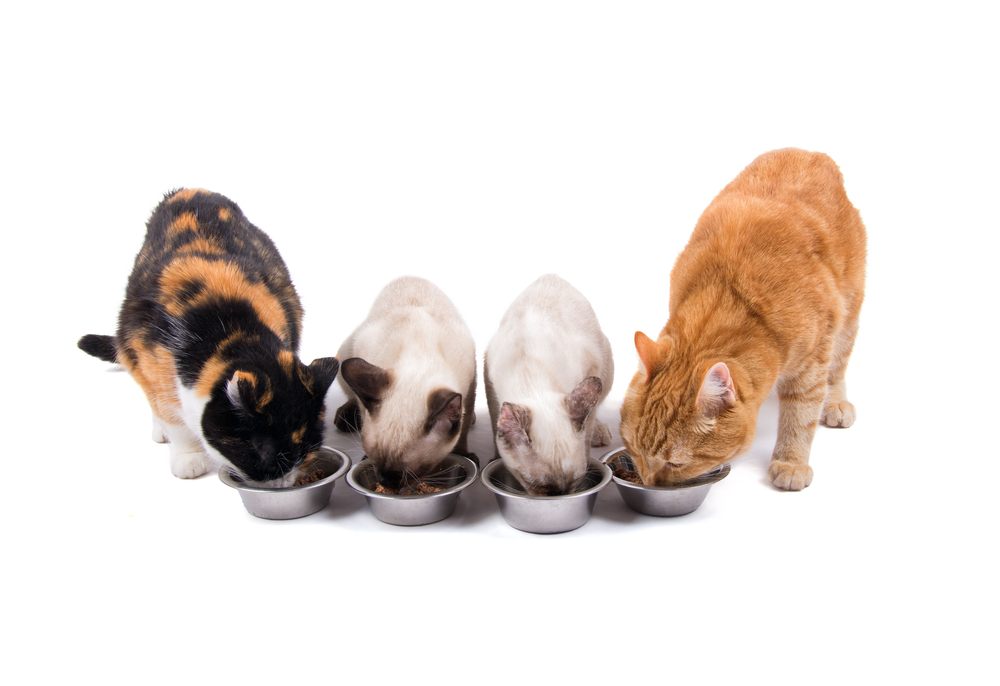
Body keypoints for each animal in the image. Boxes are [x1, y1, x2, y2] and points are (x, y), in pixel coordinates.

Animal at [78, 188, 336, 486]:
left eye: (306, 452)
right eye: (264, 456)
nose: (282, 485)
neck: (233, 333)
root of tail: (189, 190)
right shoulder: (151, 356)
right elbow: (172, 416)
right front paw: (188, 457)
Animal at [334, 276, 478, 492]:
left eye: (418, 471)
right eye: (374, 463)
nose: (386, 482)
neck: (420, 357)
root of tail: (408, 276)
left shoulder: (470, 385)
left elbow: (464, 423)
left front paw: (462, 453)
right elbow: (361, 407)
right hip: (346, 354)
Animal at [482, 276, 612, 498]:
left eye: (575, 483)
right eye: (542, 488)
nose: (560, 497)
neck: (531, 379)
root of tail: (553, 275)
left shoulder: (593, 366)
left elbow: (587, 433)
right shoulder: (488, 378)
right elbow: (493, 422)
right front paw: (495, 457)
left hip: (607, 362)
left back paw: (600, 434)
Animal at [620, 150, 864, 494]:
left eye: (675, 463)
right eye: (634, 448)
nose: (649, 483)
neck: (730, 296)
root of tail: (812, 153)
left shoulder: (812, 363)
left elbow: (801, 415)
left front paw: (792, 462)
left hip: (848, 311)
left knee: (839, 365)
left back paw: (836, 403)